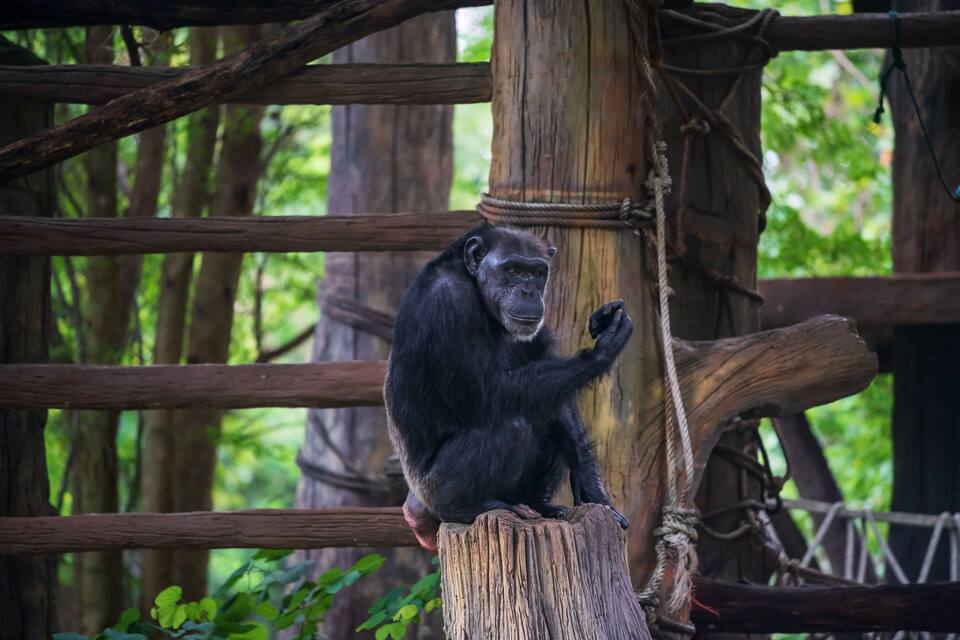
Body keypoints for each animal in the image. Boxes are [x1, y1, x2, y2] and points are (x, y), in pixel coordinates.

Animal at [385, 225, 633, 551]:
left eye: (537, 273)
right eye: (513, 269)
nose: (528, 291)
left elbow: (556, 396)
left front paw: (594, 491)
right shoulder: (448, 300)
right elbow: (487, 394)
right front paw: (603, 349)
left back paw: (541, 505)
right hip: (432, 488)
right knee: (513, 425)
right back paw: (464, 508)